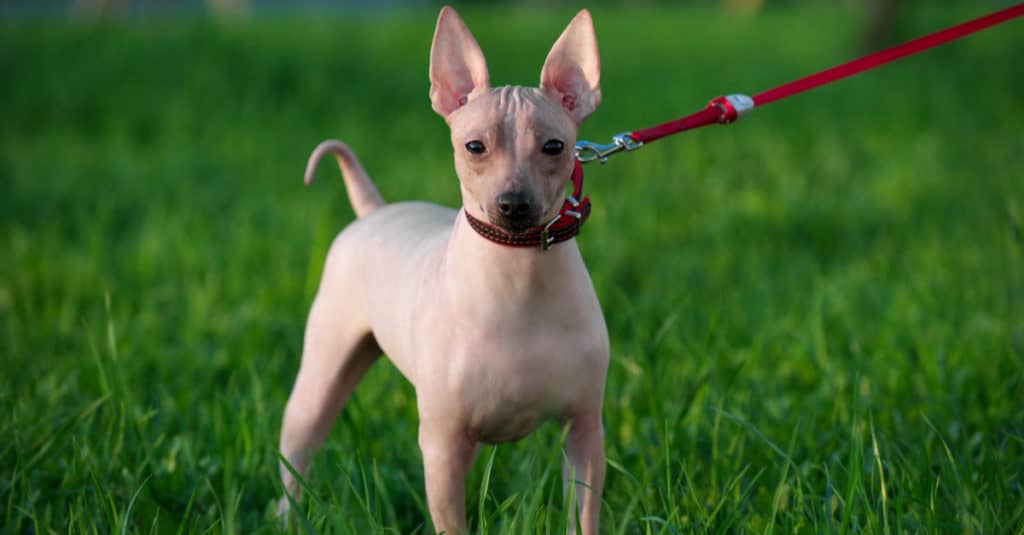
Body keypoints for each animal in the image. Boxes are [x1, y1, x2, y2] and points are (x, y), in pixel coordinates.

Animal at [278, 6, 606, 528]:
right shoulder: (442, 444)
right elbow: (450, 521)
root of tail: (374, 211)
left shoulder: (585, 430)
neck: (519, 279)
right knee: (296, 452)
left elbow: (583, 514)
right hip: (321, 379)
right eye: (474, 147)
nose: (513, 204)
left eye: (555, 147)